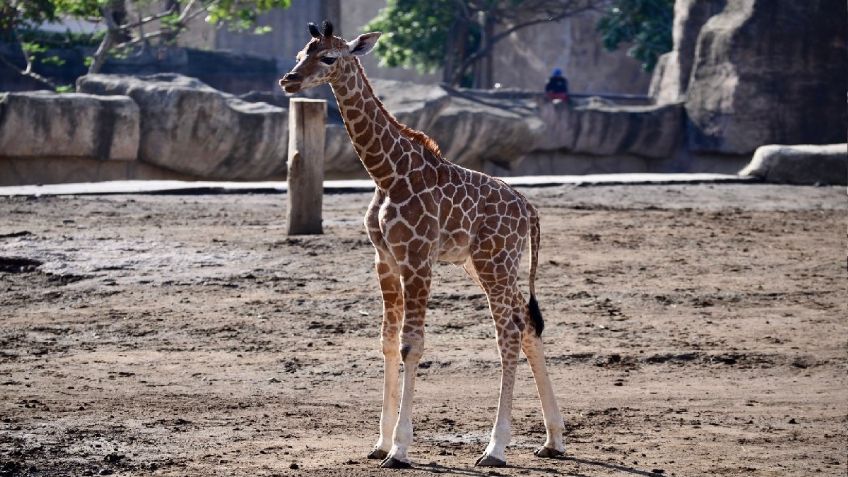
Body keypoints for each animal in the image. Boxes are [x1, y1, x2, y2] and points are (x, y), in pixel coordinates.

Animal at [282, 20, 568, 466]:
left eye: (328, 57)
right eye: (300, 54)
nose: (289, 80)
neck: (388, 174)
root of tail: (529, 210)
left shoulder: (417, 257)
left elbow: (411, 345)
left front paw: (400, 448)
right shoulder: (384, 259)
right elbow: (386, 342)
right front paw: (380, 442)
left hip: (495, 260)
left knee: (509, 330)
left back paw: (495, 448)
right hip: (482, 263)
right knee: (527, 323)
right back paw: (553, 440)